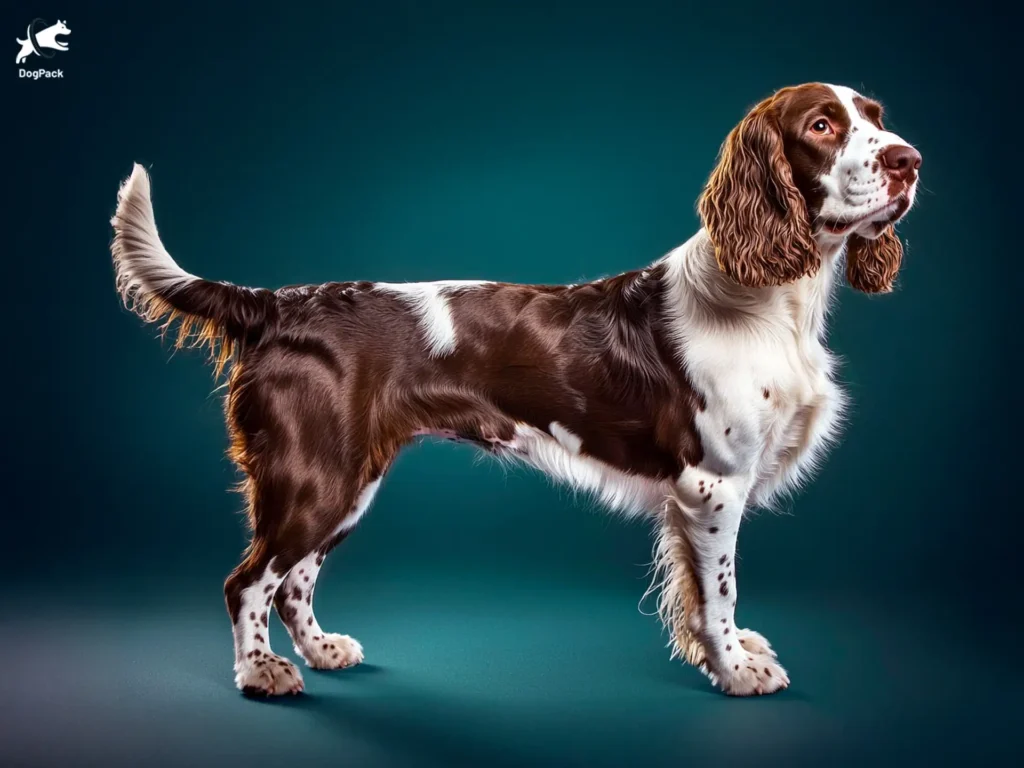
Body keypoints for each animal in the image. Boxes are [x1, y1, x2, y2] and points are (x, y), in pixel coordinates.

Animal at [110, 82, 921, 696]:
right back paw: (261, 672)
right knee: (247, 580)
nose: (909, 160)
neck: (772, 299)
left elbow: (703, 593)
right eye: (822, 125)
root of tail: (281, 304)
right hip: (315, 475)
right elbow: (717, 591)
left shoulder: (702, 494)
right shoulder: (711, 484)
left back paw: (321, 650)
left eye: (876, 116)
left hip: (351, 475)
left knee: (293, 579)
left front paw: (736, 651)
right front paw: (737, 670)